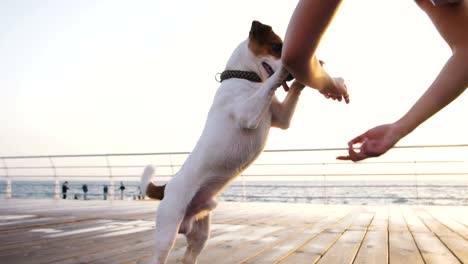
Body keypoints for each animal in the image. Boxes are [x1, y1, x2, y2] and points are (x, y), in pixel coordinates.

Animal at [141, 21, 306, 264]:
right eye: (277, 47)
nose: (292, 75)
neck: (245, 78)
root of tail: (166, 188)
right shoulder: (249, 114)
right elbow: (269, 86)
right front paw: (284, 70)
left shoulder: (281, 118)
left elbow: (289, 97)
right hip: (167, 234)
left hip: (200, 236)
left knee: (190, 256)